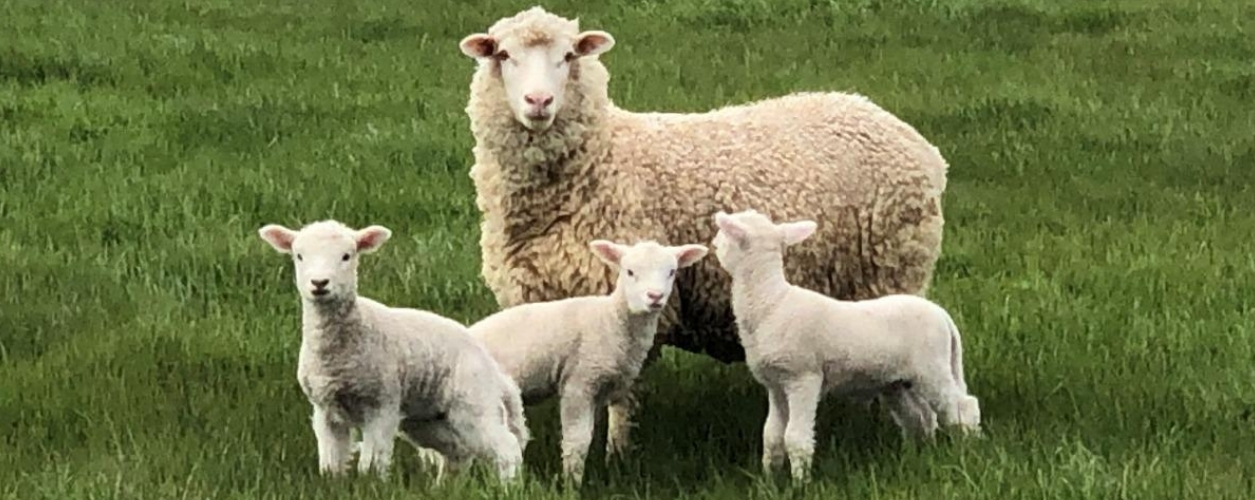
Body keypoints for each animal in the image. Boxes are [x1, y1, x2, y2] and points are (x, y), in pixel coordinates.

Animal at [257, 220, 529, 483]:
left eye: (346, 256)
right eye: (299, 256)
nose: (319, 284)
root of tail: (495, 370)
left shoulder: (381, 404)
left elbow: (372, 461)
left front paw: (371, 485)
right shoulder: (324, 409)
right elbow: (331, 459)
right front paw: (332, 482)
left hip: (473, 401)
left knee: (506, 447)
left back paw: (508, 487)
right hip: (427, 419)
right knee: (457, 452)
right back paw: (445, 487)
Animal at [456, 6, 950, 437]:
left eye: (569, 56)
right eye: (503, 55)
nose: (538, 101)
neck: (600, 161)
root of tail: (913, 140)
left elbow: (620, 400)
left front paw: (616, 455)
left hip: (891, 272)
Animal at [466, 239, 709, 484]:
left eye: (671, 272)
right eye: (629, 272)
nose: (655, 296)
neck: (612, 319)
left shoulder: (601, 388)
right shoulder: (580, 381)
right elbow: (578, 440)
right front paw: (571, 484)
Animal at [710, 209, 981, 483]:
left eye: (726, 234)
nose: (713, 243)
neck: (770, 301)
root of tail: (943, 316)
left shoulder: (803, 378)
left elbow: (795, 437)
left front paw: (800, 483)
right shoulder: (775, 385)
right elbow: (772, 436)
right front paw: (770, 479)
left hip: (931, 368)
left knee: (963, 407)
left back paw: (968, 448)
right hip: (898, 382)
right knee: (921, 417)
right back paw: (918, 454)